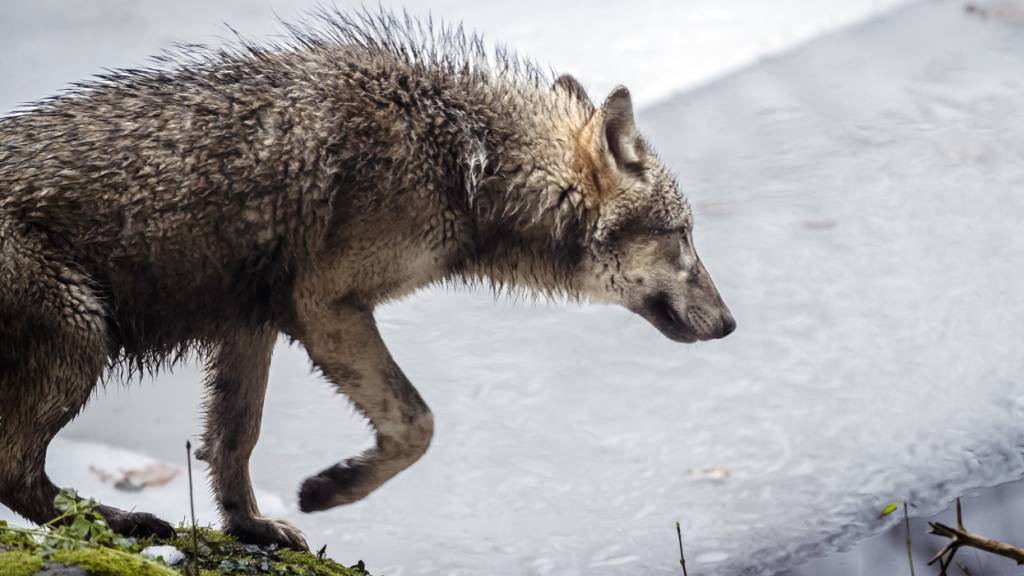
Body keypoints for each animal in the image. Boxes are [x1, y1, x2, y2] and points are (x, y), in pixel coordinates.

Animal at [0, 9, 735, 549]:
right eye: (683, 236)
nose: (731, 324)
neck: (467, 163)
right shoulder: (326, 307)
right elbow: (418, 424)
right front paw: (331, 488)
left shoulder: (254, 322)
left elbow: (232, 441)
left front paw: (252, 528)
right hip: (82, 339)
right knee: (16, 472)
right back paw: (126, 525)